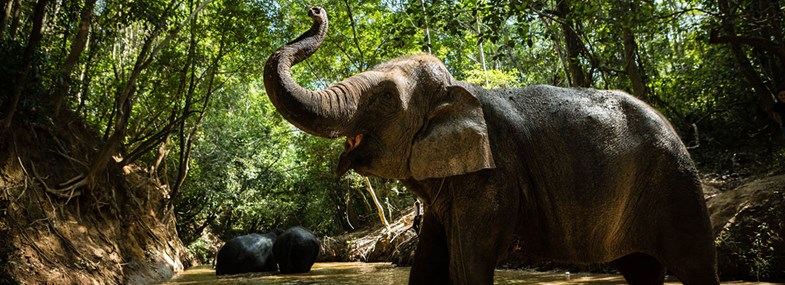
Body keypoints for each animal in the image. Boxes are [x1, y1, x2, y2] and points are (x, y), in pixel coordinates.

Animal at [262, 6, 716, 284]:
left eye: (387, 98)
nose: (315, 11)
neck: (458, 89)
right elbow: (427, 268)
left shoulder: (494, 177)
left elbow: (466, 268)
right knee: (641, 270)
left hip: (678, 185)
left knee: (695, 265)